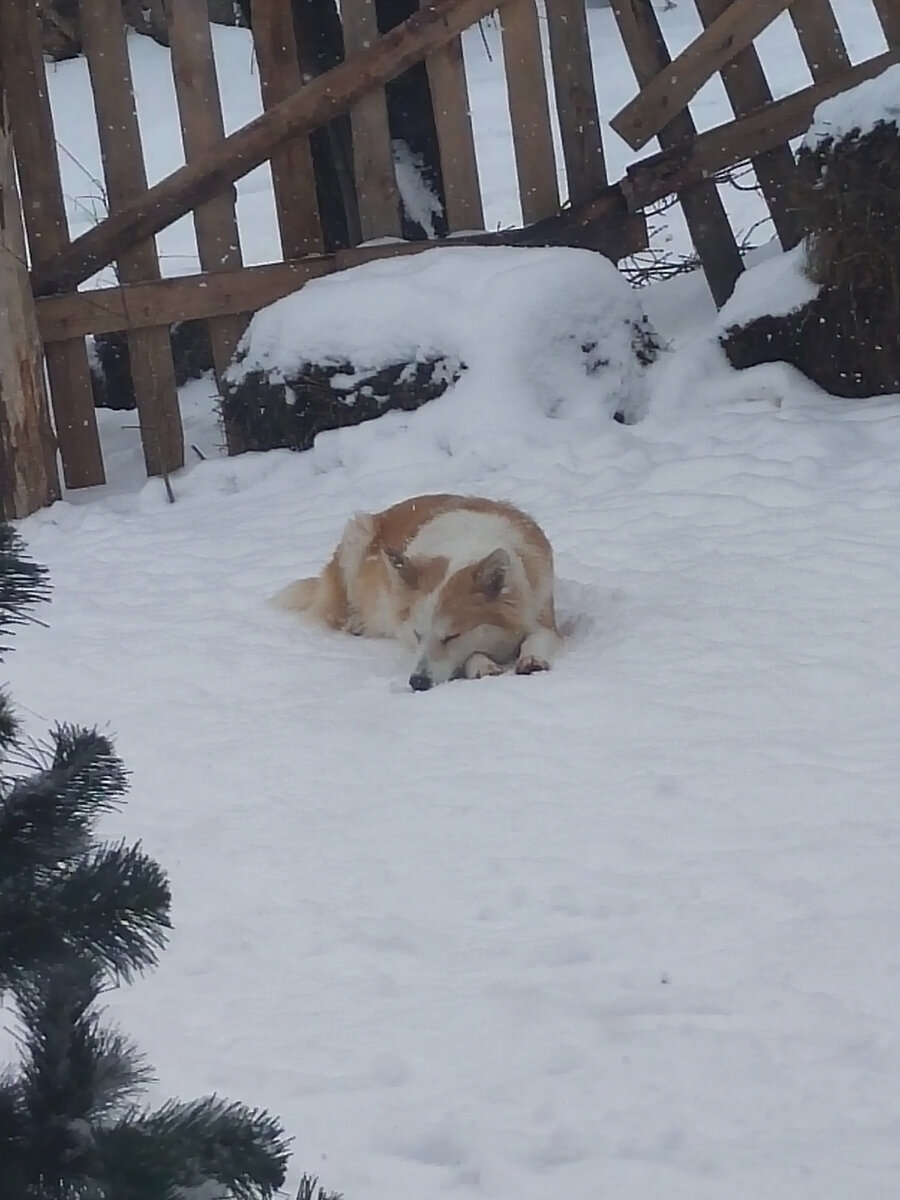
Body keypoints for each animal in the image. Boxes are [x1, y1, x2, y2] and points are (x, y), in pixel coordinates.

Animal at [274, 489, 561, 696]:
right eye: (417, 634)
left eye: (452, 636)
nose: (418, 682)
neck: (467, 547)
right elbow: (472, 654)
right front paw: (481, 664)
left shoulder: (541, 611)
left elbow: (539, 637)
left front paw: (532, 658)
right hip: (356, 536)